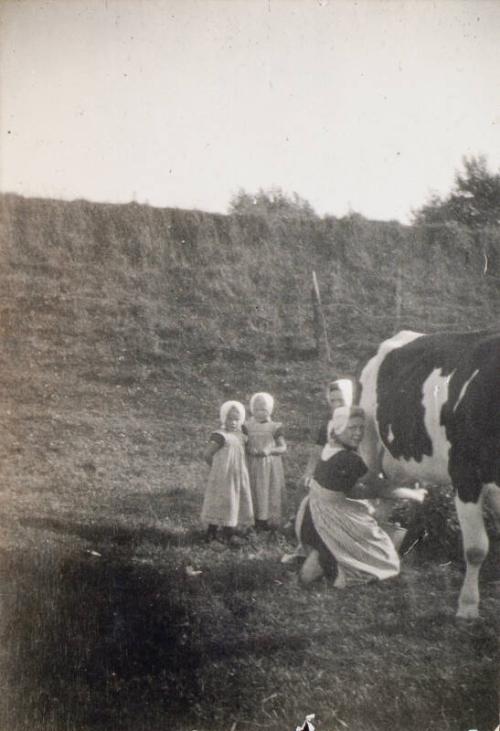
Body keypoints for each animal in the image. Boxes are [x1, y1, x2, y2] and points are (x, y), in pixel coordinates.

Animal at [358, 328, 500, 620]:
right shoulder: (465, 477)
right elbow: (476, 548)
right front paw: (467, 606)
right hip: (368, 443)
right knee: (367, 494)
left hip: (402, 458)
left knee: (387, 497)